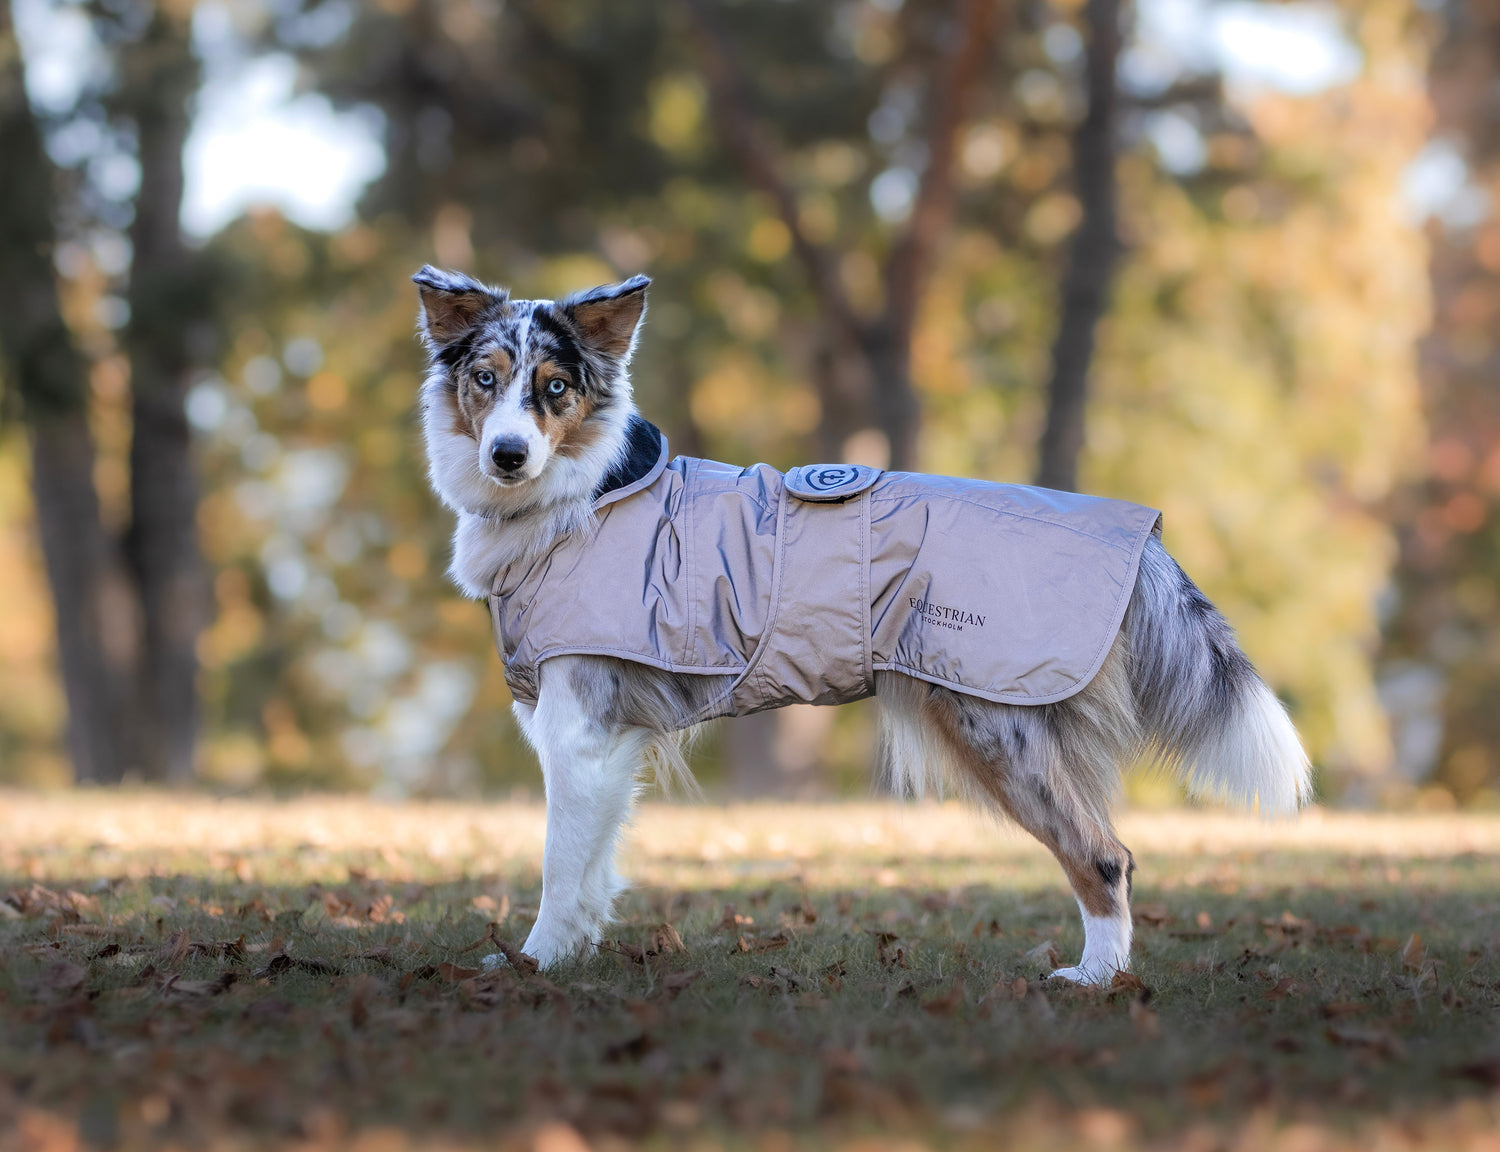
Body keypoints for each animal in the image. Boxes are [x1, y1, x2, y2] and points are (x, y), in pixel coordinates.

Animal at [414, 265, 1314, 984]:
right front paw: (575, 954)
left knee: (1105, 856)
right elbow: (595, 866)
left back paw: (1094, 980)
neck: (587, 496)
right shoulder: (601, 741)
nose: (507, 455)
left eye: (555, 389)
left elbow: (559, 864)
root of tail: (1137, 533)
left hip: (997, 727)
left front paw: (535, 964)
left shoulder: (581, 726)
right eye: (486, 379)